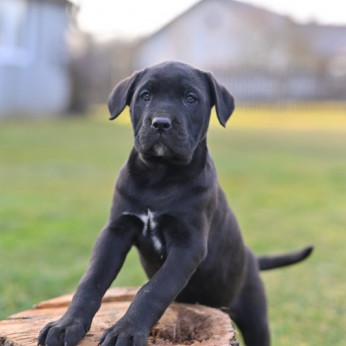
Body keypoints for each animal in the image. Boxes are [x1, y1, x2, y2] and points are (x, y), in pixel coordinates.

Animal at [38, 62, 314, 346]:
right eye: (145, 95)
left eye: (190, 98)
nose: (161, 123)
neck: (159, 175)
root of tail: (252, 258)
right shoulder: (116, 231)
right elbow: (91, 280)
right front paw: (66, 325)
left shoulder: (188, 244)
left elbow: (154, 289)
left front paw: (126, 331)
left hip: (255, 316)